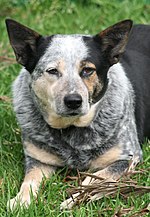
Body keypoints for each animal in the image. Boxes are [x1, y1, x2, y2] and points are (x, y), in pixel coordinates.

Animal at [5, 19, 150, 210]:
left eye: (88, 70)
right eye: (52, 71)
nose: (73, 101)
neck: (71, 128)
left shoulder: (128, 158)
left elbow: (95, 179)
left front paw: (74, 199)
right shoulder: (38, 160)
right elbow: (30, 180)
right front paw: (21, 201)